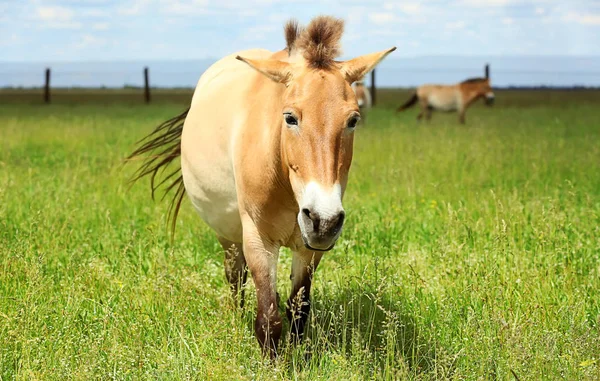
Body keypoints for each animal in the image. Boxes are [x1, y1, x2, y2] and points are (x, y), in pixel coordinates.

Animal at [127, 16, 394, 358]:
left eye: (353, 120)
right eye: (290, 118)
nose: (323, 220)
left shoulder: (309, 248)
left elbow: (298, 308)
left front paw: (298, 357)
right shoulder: (258, 238)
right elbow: (268, 318)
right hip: (228, 234)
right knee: (234, 277)